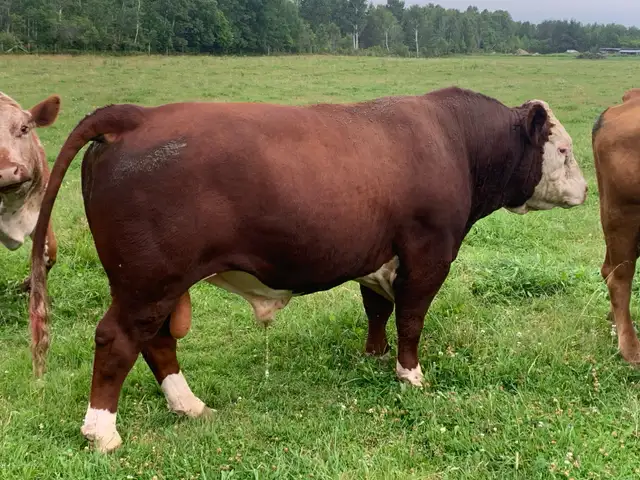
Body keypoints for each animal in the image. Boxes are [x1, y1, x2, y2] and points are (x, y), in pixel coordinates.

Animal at [28, 87, 587, 452]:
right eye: (563, 149)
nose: (586, 190)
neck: (456, 141)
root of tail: (136, 115)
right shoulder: (429, 254)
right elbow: (411, 318)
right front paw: (411, 375)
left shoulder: (378, 255)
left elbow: (377, 308)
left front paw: (373, 355)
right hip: (148, 280)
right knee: (118, 339)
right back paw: (102, 431)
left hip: (154, 284)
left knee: (157, 340)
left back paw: (187, 405)